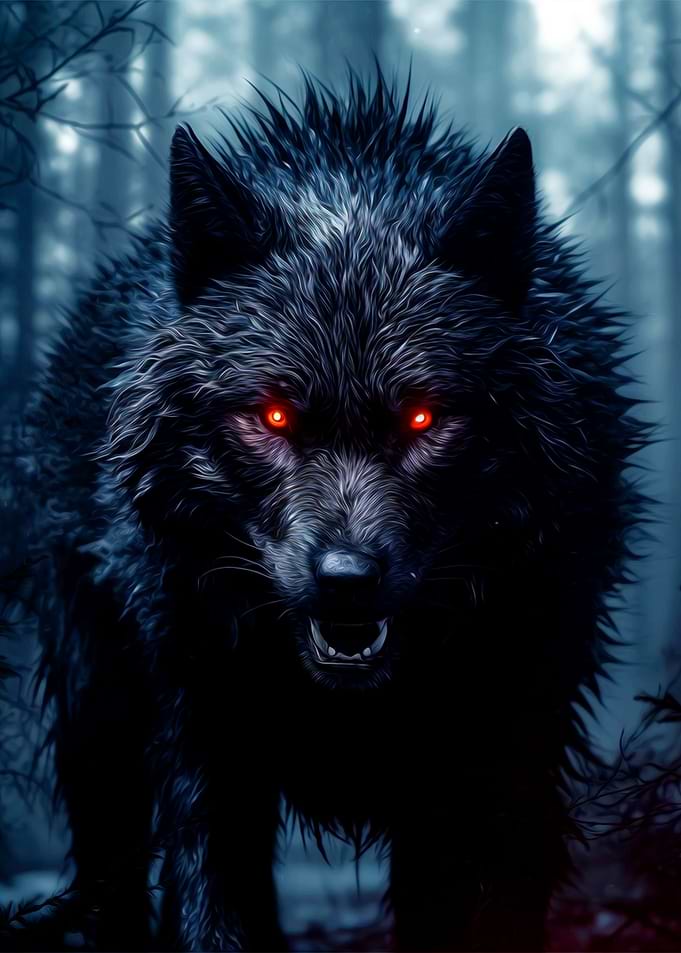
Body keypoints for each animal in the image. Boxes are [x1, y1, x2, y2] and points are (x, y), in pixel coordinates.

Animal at [27, 74, 644, 951]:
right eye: (274, 415)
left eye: (423, 417)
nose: (345, 577)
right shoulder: (206, 745)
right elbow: (216, 904)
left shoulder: (502, 759)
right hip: (98, 715)